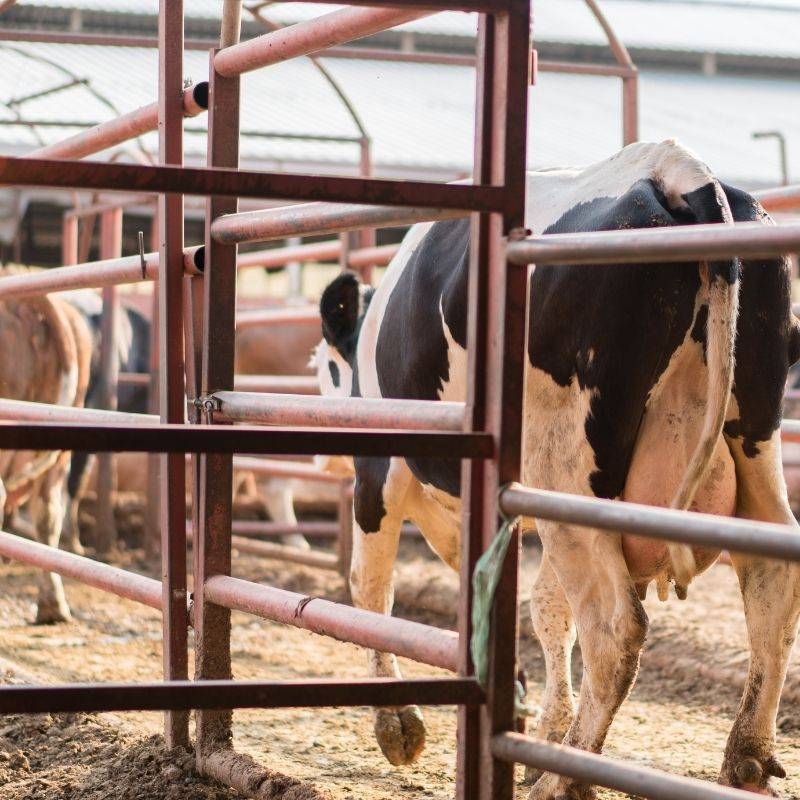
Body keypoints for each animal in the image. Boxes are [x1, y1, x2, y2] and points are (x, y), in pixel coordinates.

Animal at [318, 141, 800, 796]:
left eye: (324, 369)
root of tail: (676, 169)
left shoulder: (382, 467)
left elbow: (369, 585)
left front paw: (398, 726)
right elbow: (547, 609)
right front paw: (545, 731)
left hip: (564, 465)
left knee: (615, 626)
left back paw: (563, 779)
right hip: (746, 440)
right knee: (771, 576)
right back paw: (744, 756)